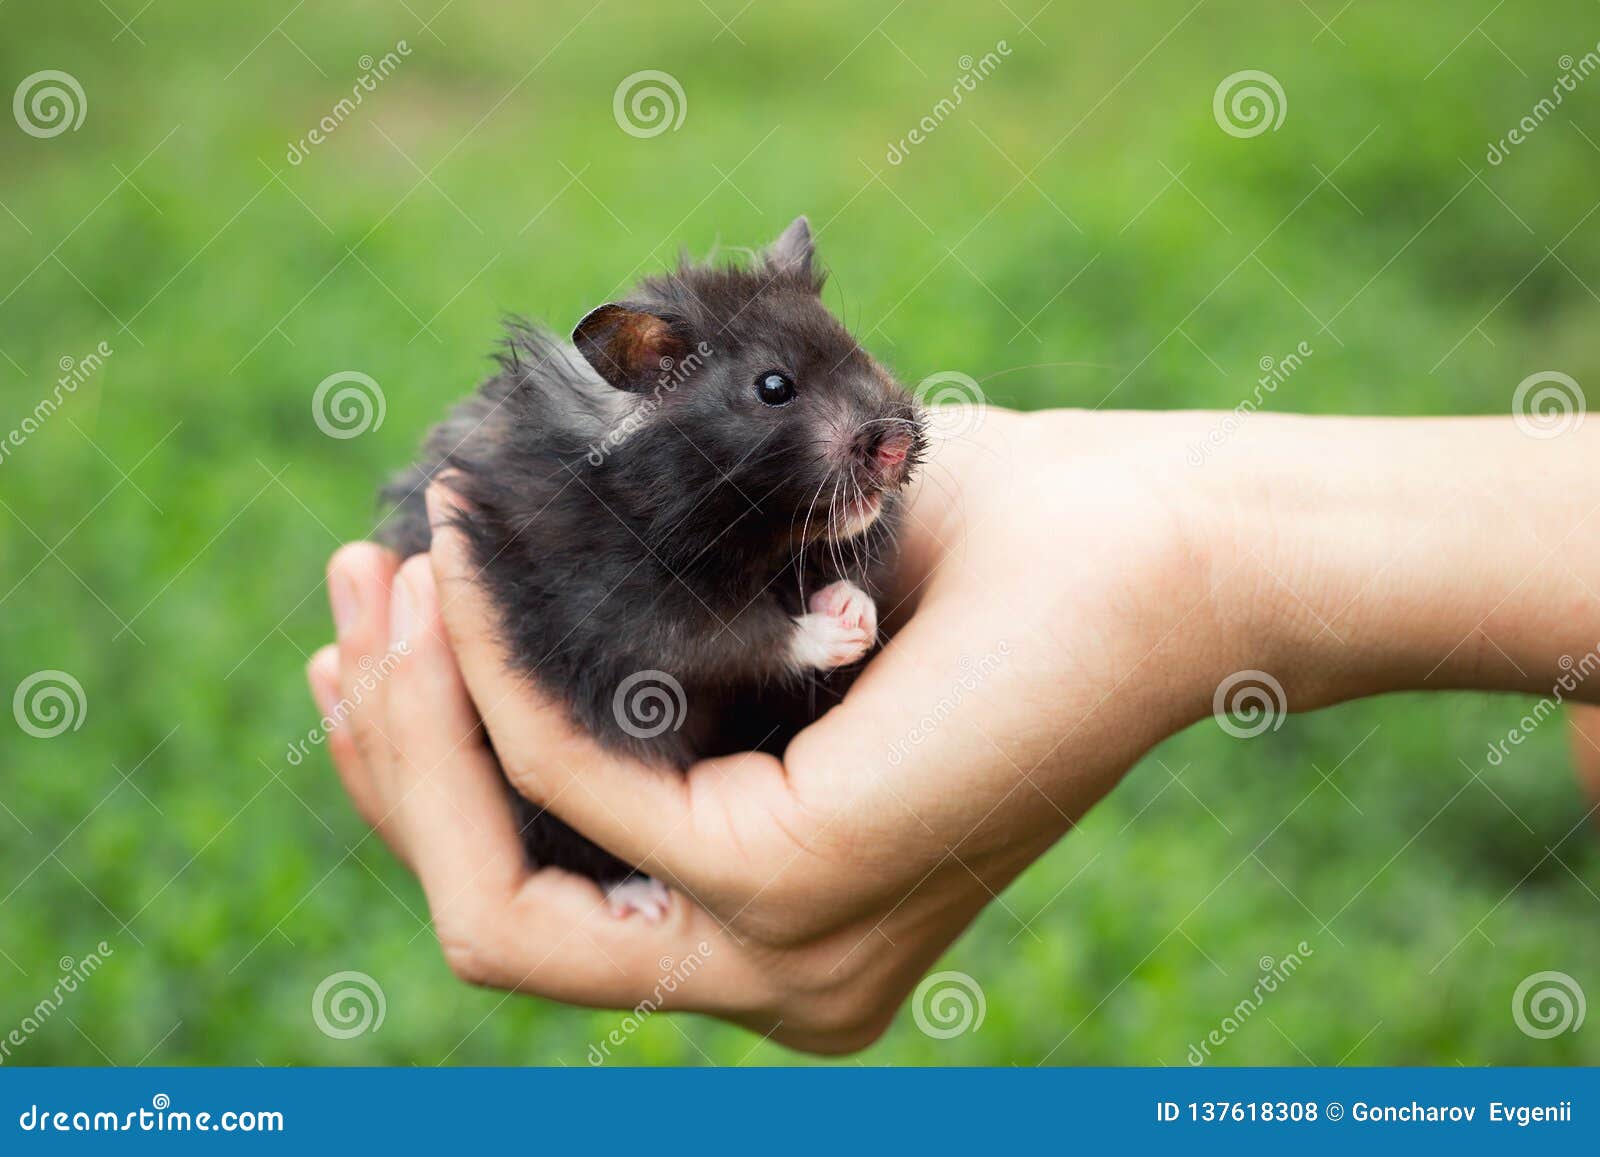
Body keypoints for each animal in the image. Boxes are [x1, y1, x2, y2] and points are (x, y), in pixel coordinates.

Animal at [375, 217, 925, 918]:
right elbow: (730, 638)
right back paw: (640, 899)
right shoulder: (615, 612)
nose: (900, 445)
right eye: (773, 387)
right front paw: (836, 632)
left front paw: (853, 608)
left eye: (854, 345)